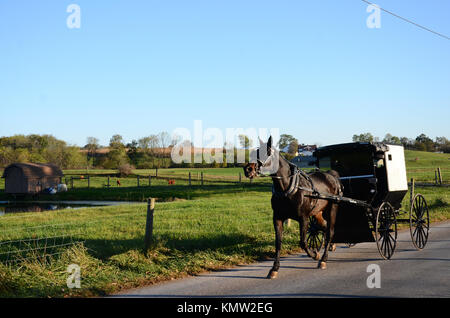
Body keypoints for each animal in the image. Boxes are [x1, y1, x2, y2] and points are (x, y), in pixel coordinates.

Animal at [244, 137, 342, 278]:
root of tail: (332, 176)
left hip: (332, 209)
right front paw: (274, 268)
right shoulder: (278, 218)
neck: (288, 188)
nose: (248, 169)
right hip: (317, 212)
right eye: (254, 152)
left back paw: (323, 259)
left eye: (266, 153)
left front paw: (314, 254)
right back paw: (330, 246)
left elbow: (303, 242)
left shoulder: (303, 218)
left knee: (330, 231)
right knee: (324, 227)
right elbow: (278, 243)